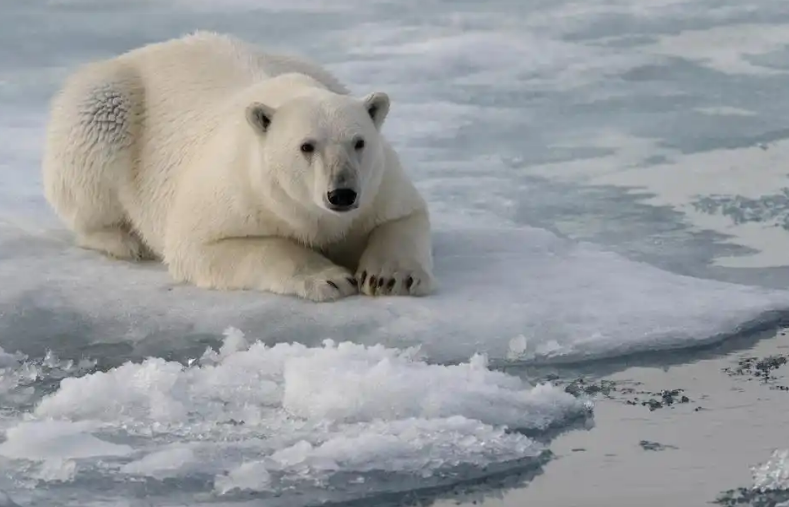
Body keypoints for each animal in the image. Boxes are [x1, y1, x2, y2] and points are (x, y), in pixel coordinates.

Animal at [41, 31, 434, 302]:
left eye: (359, 142)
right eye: (306, 146)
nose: (342, 194)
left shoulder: (378, 183)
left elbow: (404, 216)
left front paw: (391, 277)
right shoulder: (234, 189)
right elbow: (206, 245)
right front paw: (329, 277)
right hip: (106, 103)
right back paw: (123, 240)